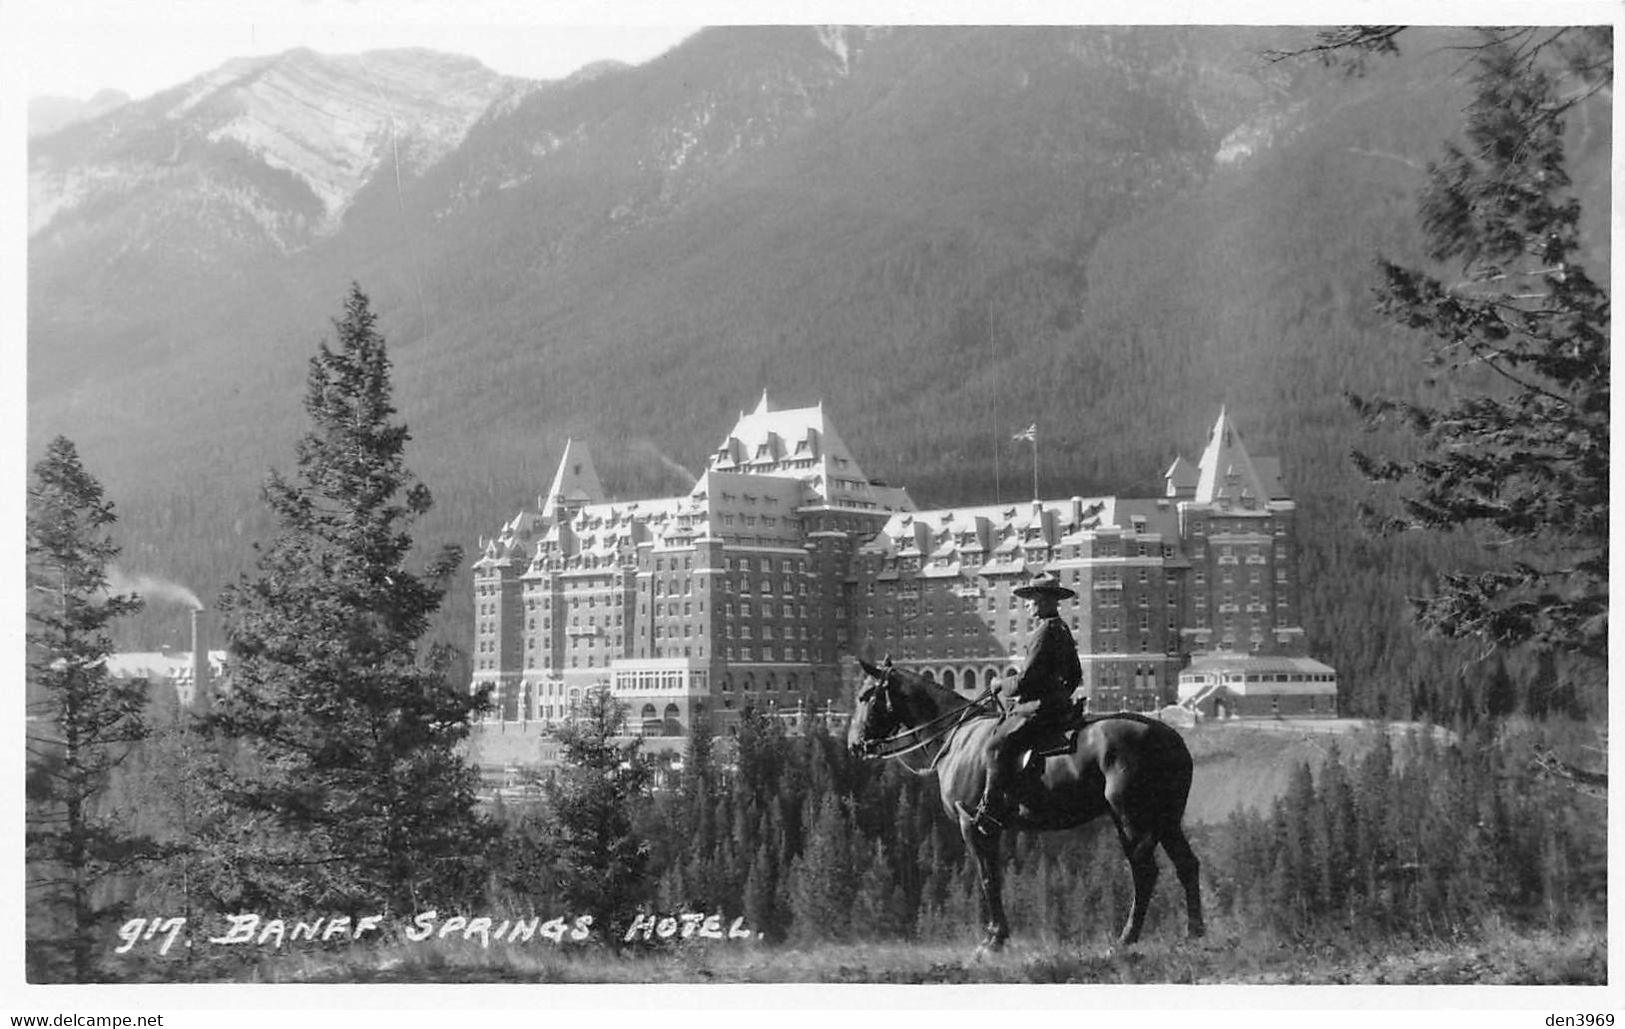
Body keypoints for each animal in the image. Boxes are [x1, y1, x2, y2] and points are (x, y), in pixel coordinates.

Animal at [845, 656, 1202, 949]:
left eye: (865, 696)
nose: (853, 745)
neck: (956, 738)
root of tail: (1172, 738)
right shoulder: (992, 830)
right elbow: (994, 876)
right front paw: (996, 933)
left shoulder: (971, 824)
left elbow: (987, 877)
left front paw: (994, 938)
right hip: (1166, 821)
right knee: (1186, 865)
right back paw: (1193, 932)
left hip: (1132, 820)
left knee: (1144, 871)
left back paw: (1127, 938)